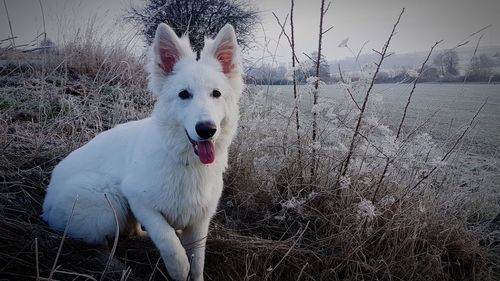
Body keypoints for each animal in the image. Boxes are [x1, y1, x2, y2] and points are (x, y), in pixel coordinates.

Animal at [40, 23, 242, 280]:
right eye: (183, 94)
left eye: (216, 93)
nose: (206, 129)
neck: (184, 160)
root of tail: (46, 206)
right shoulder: (140, 201)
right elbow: (169, 243)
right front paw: (178, 268)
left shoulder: (199, 222)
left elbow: (197, 262)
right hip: (106, 198)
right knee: (98, 246)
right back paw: (114, 266)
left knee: (131, 233)